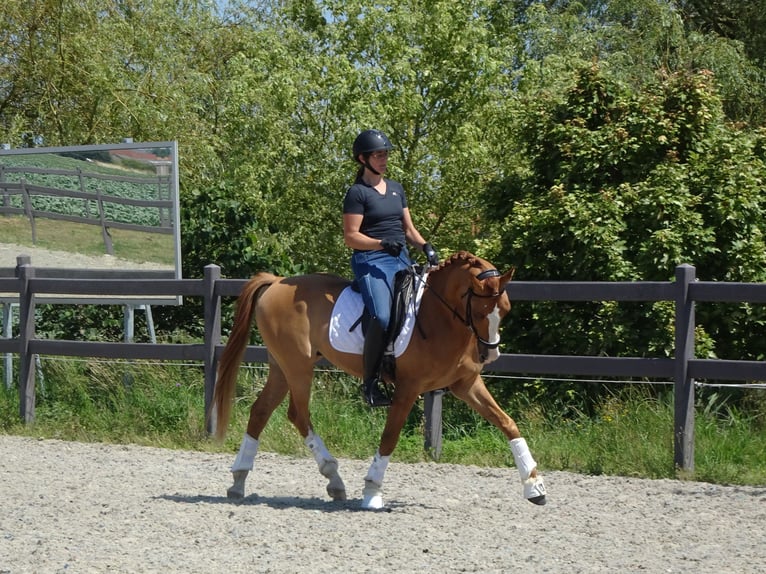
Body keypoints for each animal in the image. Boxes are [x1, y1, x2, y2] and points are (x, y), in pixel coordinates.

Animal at [210, 250, 544, 510]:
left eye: (505, 310)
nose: (491, 355)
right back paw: (333, 477)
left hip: (282, 367)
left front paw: (534, 486)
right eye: (480, 310)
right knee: (298, 414)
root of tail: (277, 282)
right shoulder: (408, 388)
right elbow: (390, 436)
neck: (439, 316)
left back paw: (239, 481)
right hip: (297, 367)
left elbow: (507, 423)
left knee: (261, 411)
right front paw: (372, 491)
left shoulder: (466, 384)